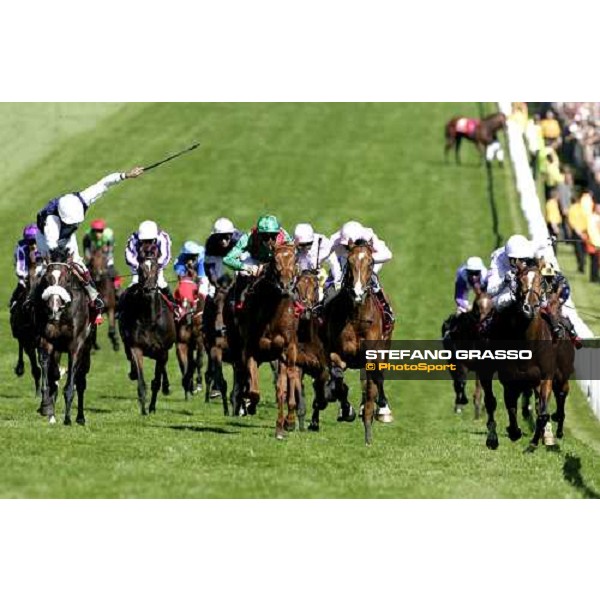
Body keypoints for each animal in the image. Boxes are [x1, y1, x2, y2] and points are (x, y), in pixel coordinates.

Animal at [33, 253, 94, 426]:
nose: (53, 307)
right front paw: (46, 407)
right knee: (55, 374)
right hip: (58, 350)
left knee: (81, 381)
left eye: (67, 279)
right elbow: (48, 374)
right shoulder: (47, 340)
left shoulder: (76, 344)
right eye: (46, 279)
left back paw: (80, 417)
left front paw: (67, 418)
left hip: (87, 348)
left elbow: (71, 383)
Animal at [118, 246, 176, 414]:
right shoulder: (136, 347)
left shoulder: (162, 350)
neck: (149, 319)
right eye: (140, 268)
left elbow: (156, 381)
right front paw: (144, 409)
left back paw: (166, 387)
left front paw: (151, 408)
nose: (149, 289)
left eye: (156, 268)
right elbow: (141, 381)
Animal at [322, 240, 396, 446]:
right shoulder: (336, 354)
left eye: (371, 263)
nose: (357, 293)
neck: (356, 317)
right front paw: (346, 409)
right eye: (349, 261)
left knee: (376, 382)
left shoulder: (372, 356)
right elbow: (338, 379)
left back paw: (381, 409)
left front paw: (369, 430)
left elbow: (372, 389)